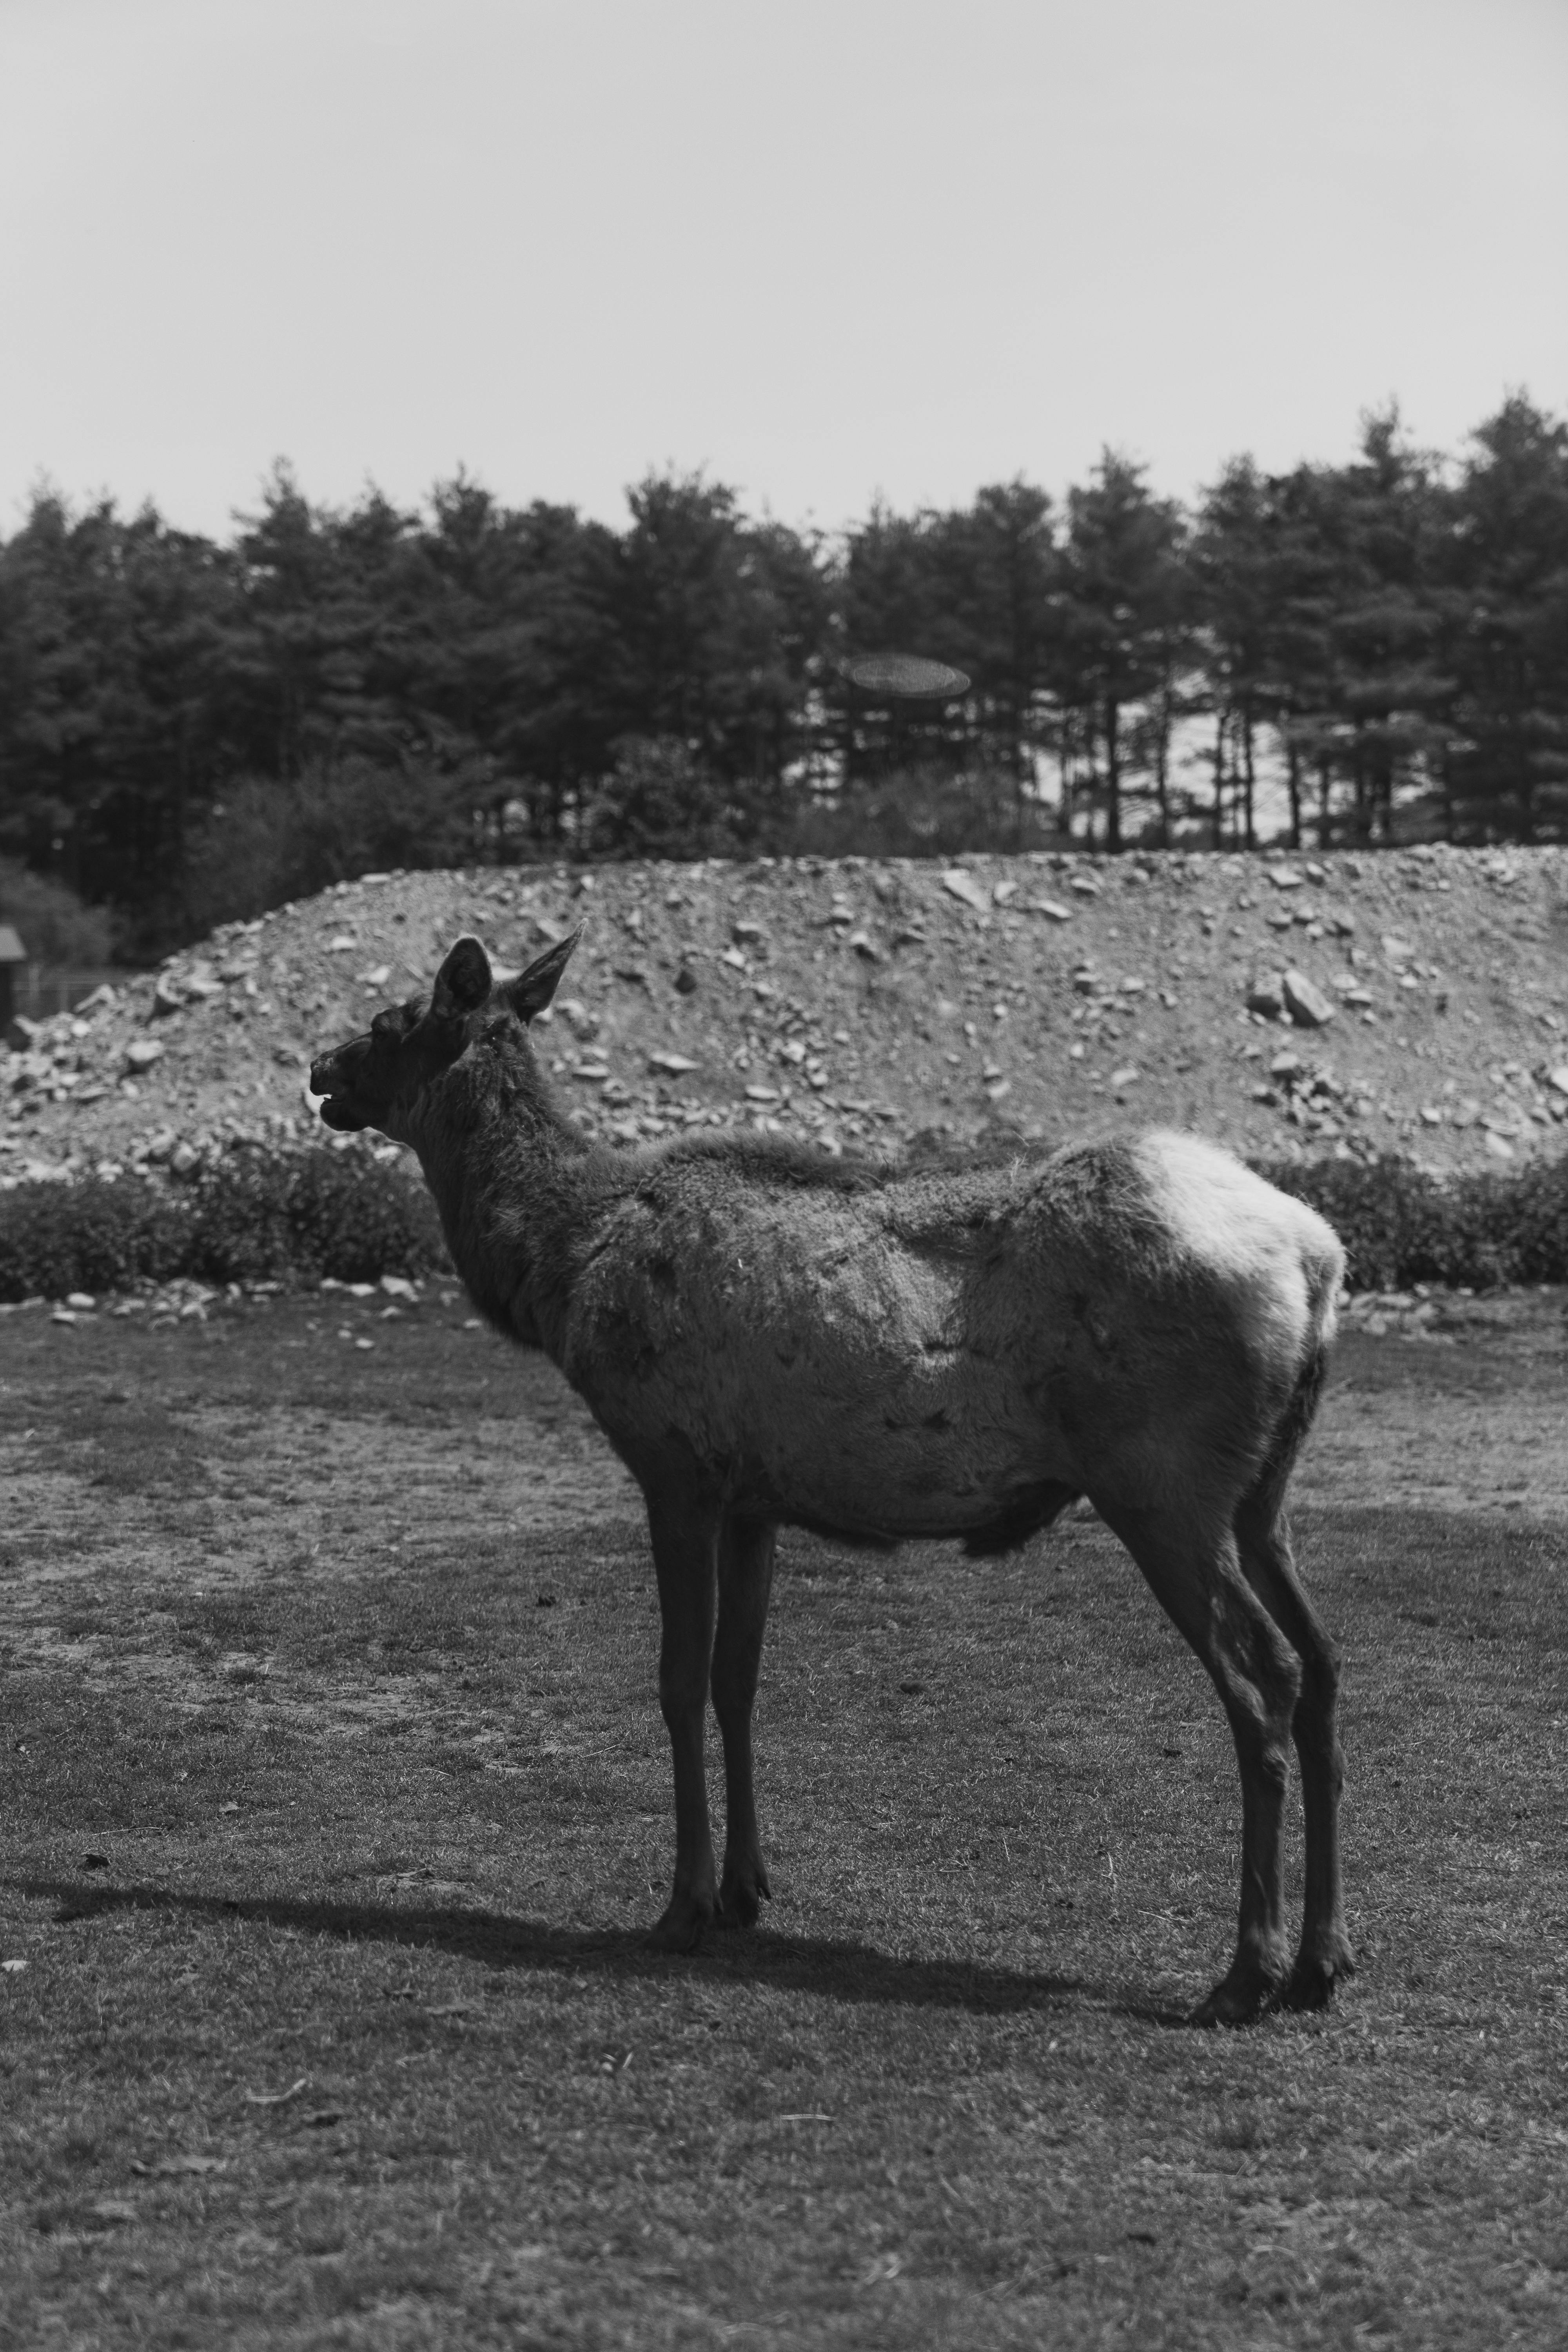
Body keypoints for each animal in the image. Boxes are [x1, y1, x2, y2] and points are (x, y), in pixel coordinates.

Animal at [312, 927, 1354, 2032]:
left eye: (390, 1021)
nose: (320, 1068)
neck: (554, 1272)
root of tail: (1319, 1261)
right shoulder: (753, 1499)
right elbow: (737, 1678)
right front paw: (745, 1888)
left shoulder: (672, 1466)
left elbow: (677, 1680)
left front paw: (681, 1906)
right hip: (1261, 1495)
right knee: (1325, 1663)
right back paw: (1321, 1962)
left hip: (1161, 1484)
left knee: (1264, 1676)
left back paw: (1244, 1972)